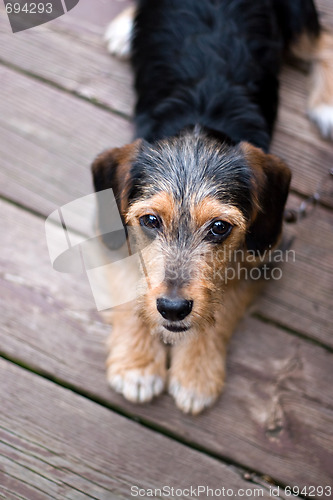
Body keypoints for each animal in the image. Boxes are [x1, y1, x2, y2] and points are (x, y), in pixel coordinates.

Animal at [92, 0, 332, 414]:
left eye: (220, 227)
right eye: (150, 220)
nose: (172, 309)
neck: (198, 119)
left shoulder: (264, 251)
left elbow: (223, 308)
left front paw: (196, 373)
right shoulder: (115, 236)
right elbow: (129, 288)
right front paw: (138, 365)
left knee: (325, 40)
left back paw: (327, 104)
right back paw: (125, 28)